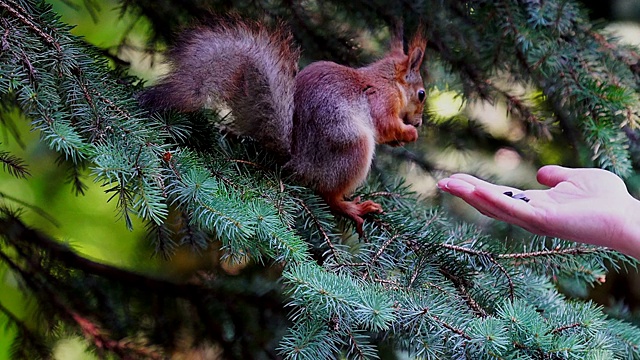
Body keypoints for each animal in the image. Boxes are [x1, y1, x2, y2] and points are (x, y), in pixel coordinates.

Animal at [140, 17, 424, 236]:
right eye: (421, 94)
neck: (387, 80)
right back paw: (352, 207)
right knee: (329, 196)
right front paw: (409, 133)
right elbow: (386, 125)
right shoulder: (382, 101)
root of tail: (297, 160)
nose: (420, 121)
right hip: (352, 147)